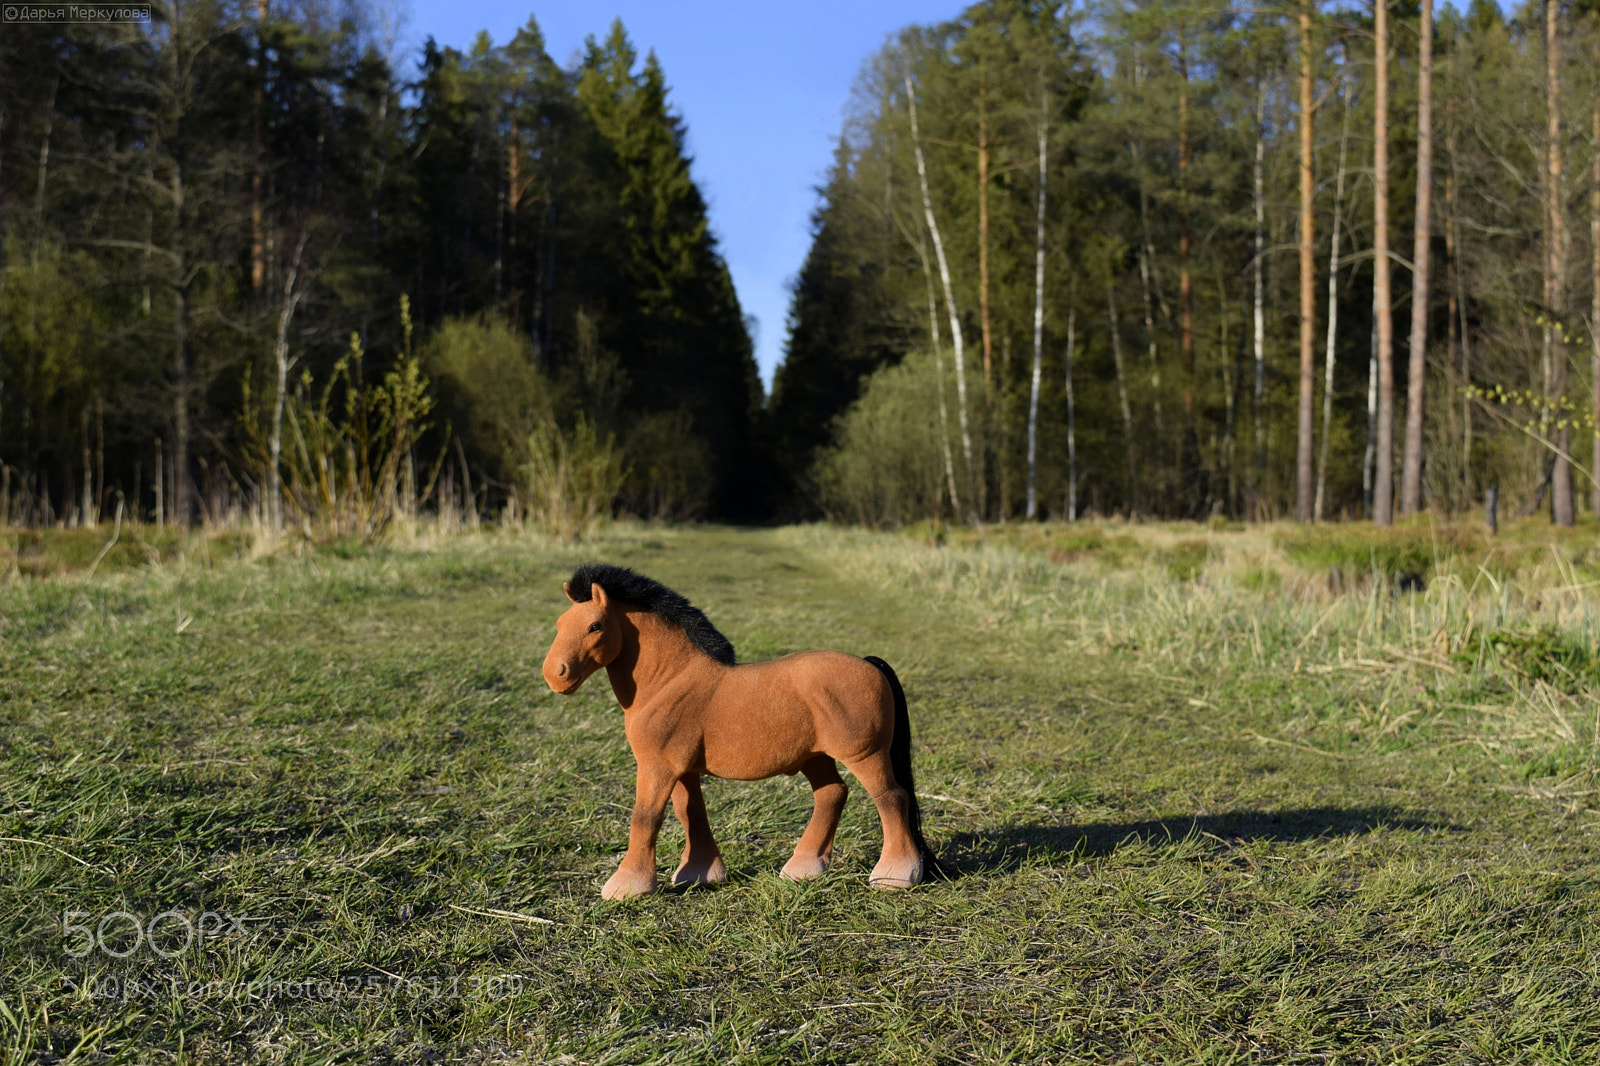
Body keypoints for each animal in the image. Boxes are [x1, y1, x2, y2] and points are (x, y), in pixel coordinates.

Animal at [541, 562, 940, 899]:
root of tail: (870, 665)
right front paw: (700, 874)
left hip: (864, 754)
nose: (554, 675)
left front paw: (627, 887)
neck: (669, 681)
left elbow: (646, 817)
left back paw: (895, 875)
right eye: (559, 624)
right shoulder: (682, 769)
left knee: (891, 798)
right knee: (833, 794)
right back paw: (803, 869)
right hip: (815, 757)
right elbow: (691, 811)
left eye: (595, 626)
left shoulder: (658, 767)